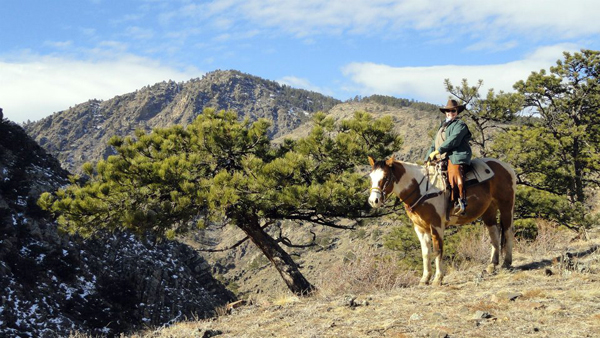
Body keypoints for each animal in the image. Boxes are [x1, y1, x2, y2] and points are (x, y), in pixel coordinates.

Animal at [368, 156, 516, 286]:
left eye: (385, 177)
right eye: (371, 177)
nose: (373, 201)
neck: (421, 190)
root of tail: (506, 166)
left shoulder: (437, 225)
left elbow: (438, 250)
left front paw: (438, 279)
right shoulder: (420, 228)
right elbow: (425, 253)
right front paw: (425, 279)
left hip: (506, 205)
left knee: (508, 231)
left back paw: (506, 263)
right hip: (489, 210)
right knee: (494, 233)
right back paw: (492, 265)